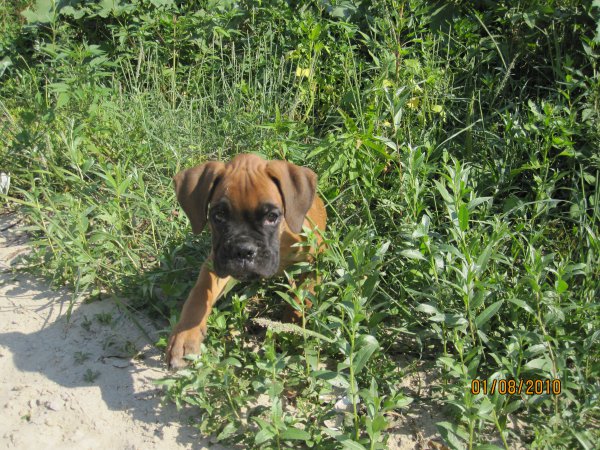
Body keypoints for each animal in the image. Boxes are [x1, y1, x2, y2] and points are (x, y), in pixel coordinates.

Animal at [166, 153, 327, 369]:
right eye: (219, 216)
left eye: (272, 216)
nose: (243, 250)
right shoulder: (216, 263)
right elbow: (199, 293)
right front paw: (185, 335)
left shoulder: (315, 260)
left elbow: (304, 294)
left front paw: (292, 325)